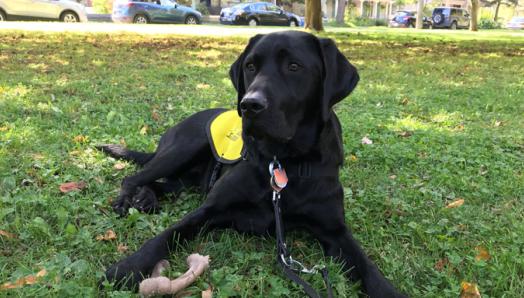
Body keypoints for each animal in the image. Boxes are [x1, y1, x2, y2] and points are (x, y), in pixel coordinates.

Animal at [101, 30, 406, 298]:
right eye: (250, 66)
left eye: (294, 66)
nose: (249, 105)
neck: (286, 163)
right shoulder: (209, 210)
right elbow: (167, 235)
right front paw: (127, 267)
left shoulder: (335, 231)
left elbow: (368, 268)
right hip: (184, 148)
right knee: (134, 177)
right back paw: (130, 199)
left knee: (163, 184)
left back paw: (146, 198)